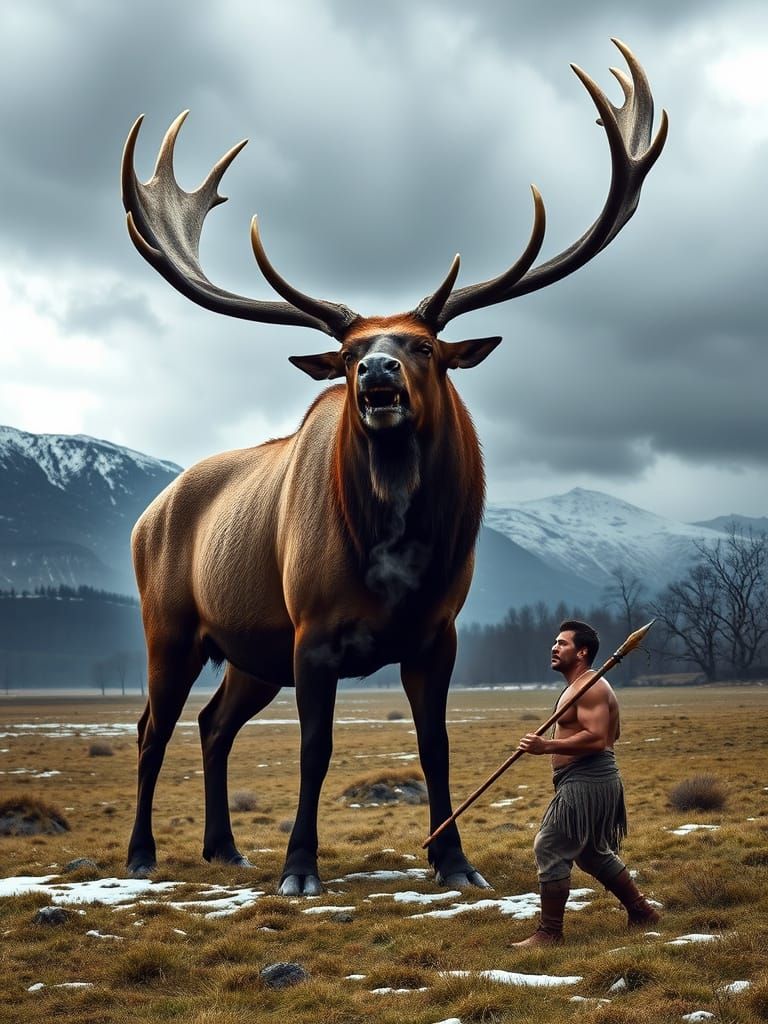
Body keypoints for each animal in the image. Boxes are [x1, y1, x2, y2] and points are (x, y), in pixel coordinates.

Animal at [121, 39, 666, 894]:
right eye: (349, 353)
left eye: (424, 347)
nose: (377, 374)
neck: (394, 554)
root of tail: (148, 516)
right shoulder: (311, 632)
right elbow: (315, 751)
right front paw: (300, 868)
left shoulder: (435, 633)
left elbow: (434, 745)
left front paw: (454, 860)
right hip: (171, 624)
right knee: (153, 727)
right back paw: (142, 853)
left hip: (252, 647)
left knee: (212, 724)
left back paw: (225, 848)